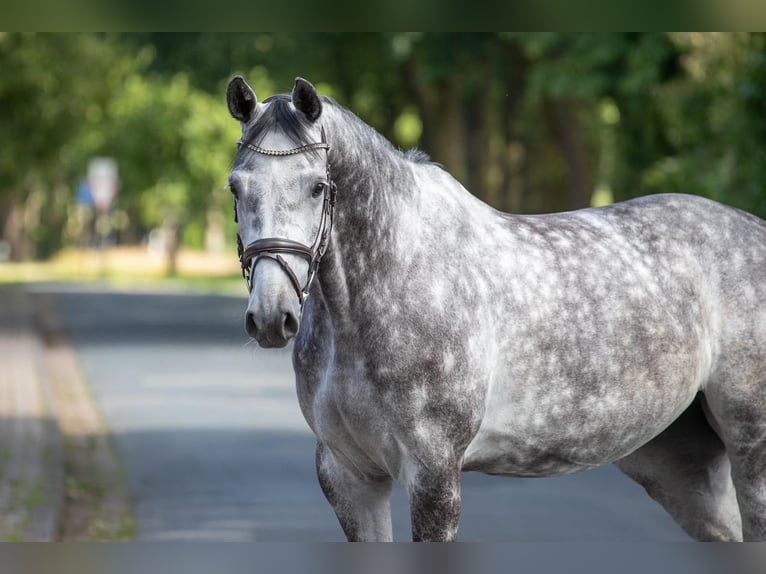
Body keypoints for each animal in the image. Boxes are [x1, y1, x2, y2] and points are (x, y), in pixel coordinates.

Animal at [226, 76, 766, 544]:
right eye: (236, 186)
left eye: (317, 186)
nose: (272, 317)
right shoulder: (349, 476)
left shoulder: (434, 476)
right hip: (678, 466)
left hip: (750, 449)